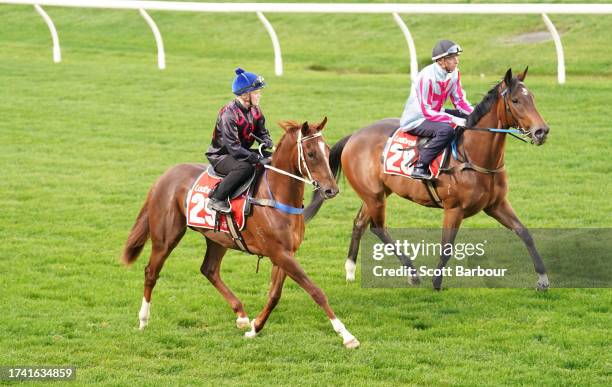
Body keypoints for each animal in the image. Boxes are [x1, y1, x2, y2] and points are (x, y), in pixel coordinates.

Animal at [122, 118, 360, 348]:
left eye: (327, 150)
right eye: (310, 154)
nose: (331, 190)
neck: (275, 196)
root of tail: (164, 176)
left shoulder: (285, 253)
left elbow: (274, 295)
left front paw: (254, 329)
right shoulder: (279, 253)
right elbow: (315, 291)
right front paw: (346, 335)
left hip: (217, 238)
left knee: (209, 270)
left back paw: (241, 315)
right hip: (166, 237)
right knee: (151, 272)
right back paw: (143, 319)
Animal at [308, 68, 552, 292]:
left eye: (533, 97)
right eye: (516, 100)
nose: (542, 131)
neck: (473, 157)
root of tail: (354, 136)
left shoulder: (496, 204)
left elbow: (524, 233)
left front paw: (542, 279)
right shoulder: (454, 208)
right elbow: (447, 246)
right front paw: (436, 282)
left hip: (377, 193)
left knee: (360, 223)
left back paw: (350, 270)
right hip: (374, 195)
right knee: (378, 228)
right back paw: (412, 274)